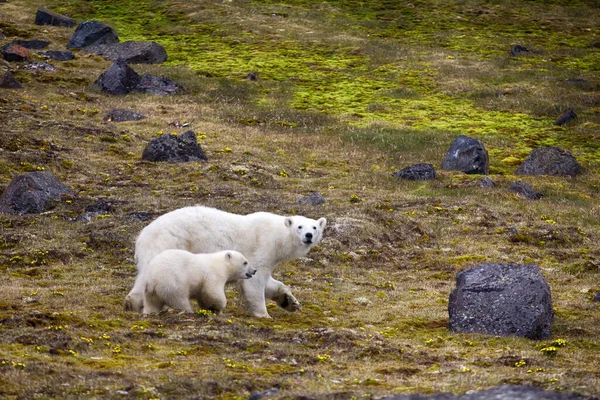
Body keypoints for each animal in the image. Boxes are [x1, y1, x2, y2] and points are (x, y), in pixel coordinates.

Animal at [123, 206, 326, 318]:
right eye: (300, 226)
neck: (277, 237)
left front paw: (290, 302)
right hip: (168, 242)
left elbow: (269, 282)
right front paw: (264, 314)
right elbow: (254, 282)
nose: (308, 235)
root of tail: (143, 234)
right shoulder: (262, 247)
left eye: (314, 227)